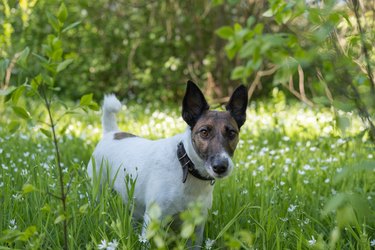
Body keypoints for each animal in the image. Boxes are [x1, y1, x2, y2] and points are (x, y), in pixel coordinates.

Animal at [86, 80, 248, 248]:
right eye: (204, 132)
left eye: (232, 133)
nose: (220, 166)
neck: (185, 166)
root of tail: (111, 133)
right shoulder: (153, 220)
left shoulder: (196, 226)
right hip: (97, 190)